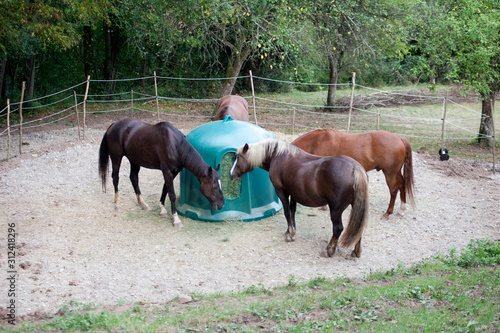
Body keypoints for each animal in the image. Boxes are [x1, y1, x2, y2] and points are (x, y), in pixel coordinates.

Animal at [229, 137, 368, 256]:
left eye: (238, 157)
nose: (231, 173)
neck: (278, 156)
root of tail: (355, 168)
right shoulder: (294, 193)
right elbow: (292, 211)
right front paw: (290, 231)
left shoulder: (281, 191)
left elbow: (286, 212)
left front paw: (290, 234)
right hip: (356, 206)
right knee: (358, 227)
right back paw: (356, 251)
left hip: (335, 210)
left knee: (338, 228)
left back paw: (329, 250)